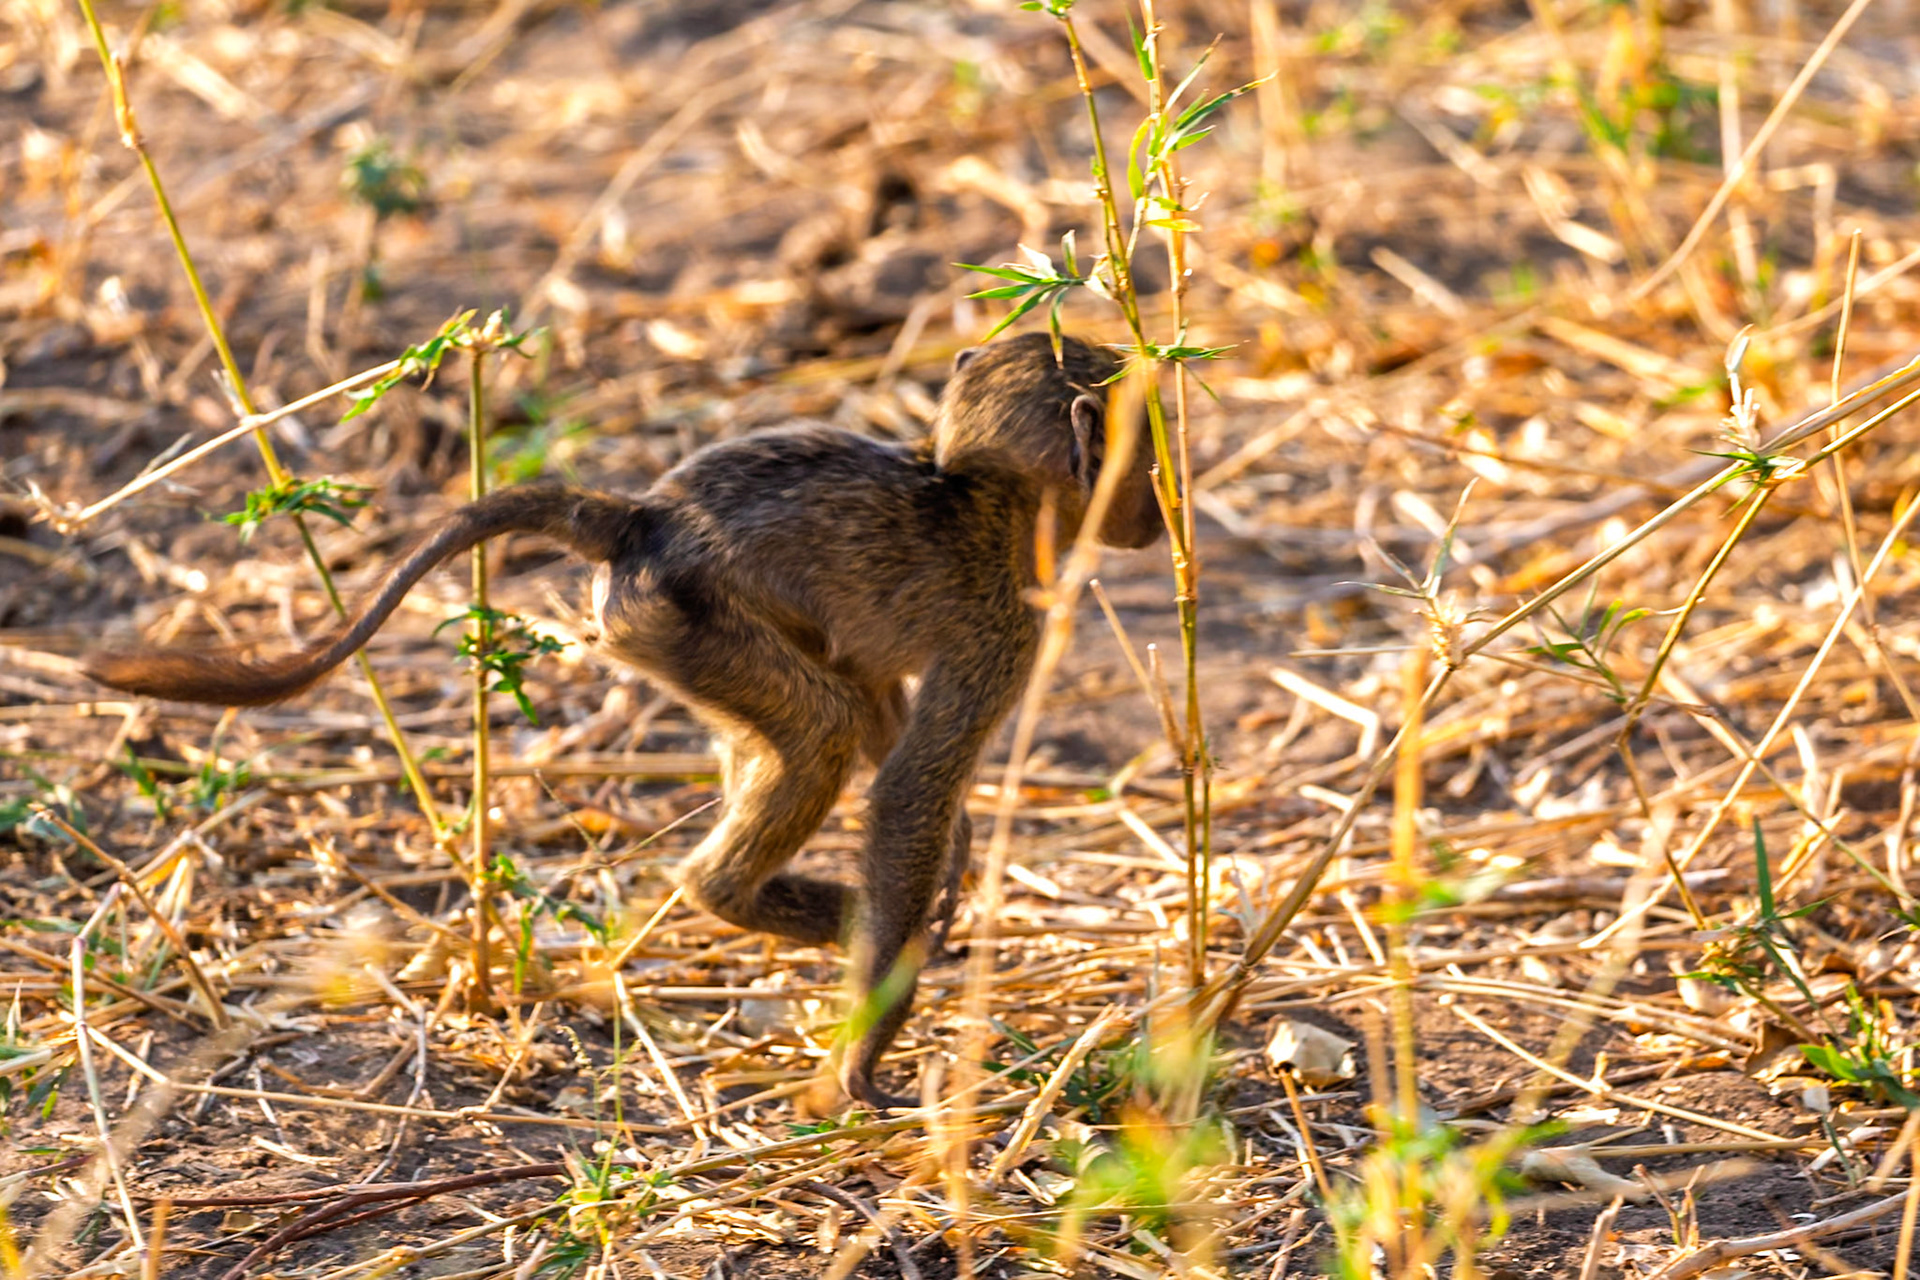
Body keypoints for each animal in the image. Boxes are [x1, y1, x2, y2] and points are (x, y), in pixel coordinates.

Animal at [83, 332, 1165, 1108]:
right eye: (1142, 458)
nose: (1156, 514)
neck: (991, 492)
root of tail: (640, 516)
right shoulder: (1004, 620)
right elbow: (904, 787)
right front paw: (865, 1045)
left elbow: (874, 701)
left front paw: (954, 863)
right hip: (678, 612)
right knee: (813, 743)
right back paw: (781, 905)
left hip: (684, 637)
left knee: (795, 726)